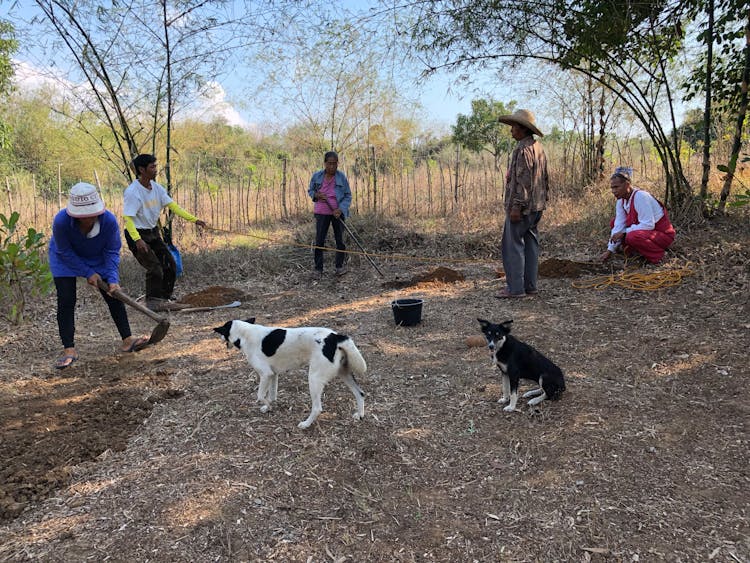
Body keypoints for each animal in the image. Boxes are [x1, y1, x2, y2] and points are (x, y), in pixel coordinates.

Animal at [213, 320, 368, 430]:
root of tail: (335, 337)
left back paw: (305, 424)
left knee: (317, 408)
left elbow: (260, 396)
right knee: (360, 393)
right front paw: (269, 407)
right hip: (344, 373)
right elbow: (272, 395)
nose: (219, 338)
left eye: (223, 332)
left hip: (314, 379)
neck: (245, 333)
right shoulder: (273, 375)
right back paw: (360, 415)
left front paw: (267, 405)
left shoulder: (265, 374)